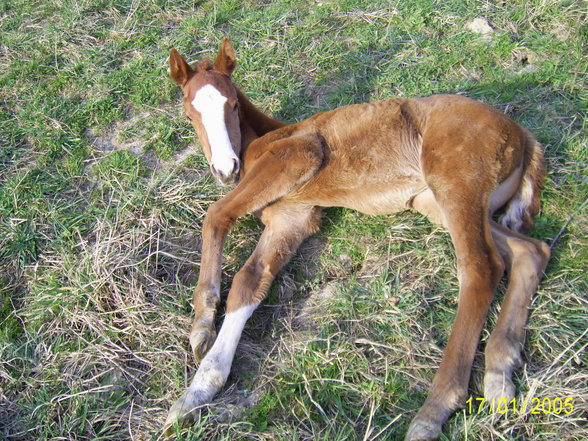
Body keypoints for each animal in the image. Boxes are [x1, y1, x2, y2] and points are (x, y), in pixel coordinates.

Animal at [164, 39, 552, 438]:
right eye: (189, 113)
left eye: (233, 105)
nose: (226, 169)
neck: (262, 140)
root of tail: (522, 134)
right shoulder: (293, 217)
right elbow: (249, 282)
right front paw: (199, 389)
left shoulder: (296, 156)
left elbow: (216, 215)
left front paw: (202, 325)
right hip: (435, 200)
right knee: (530, 251)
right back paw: (500, 371)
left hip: (456, 180)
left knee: (481, 267)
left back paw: (434, 410)